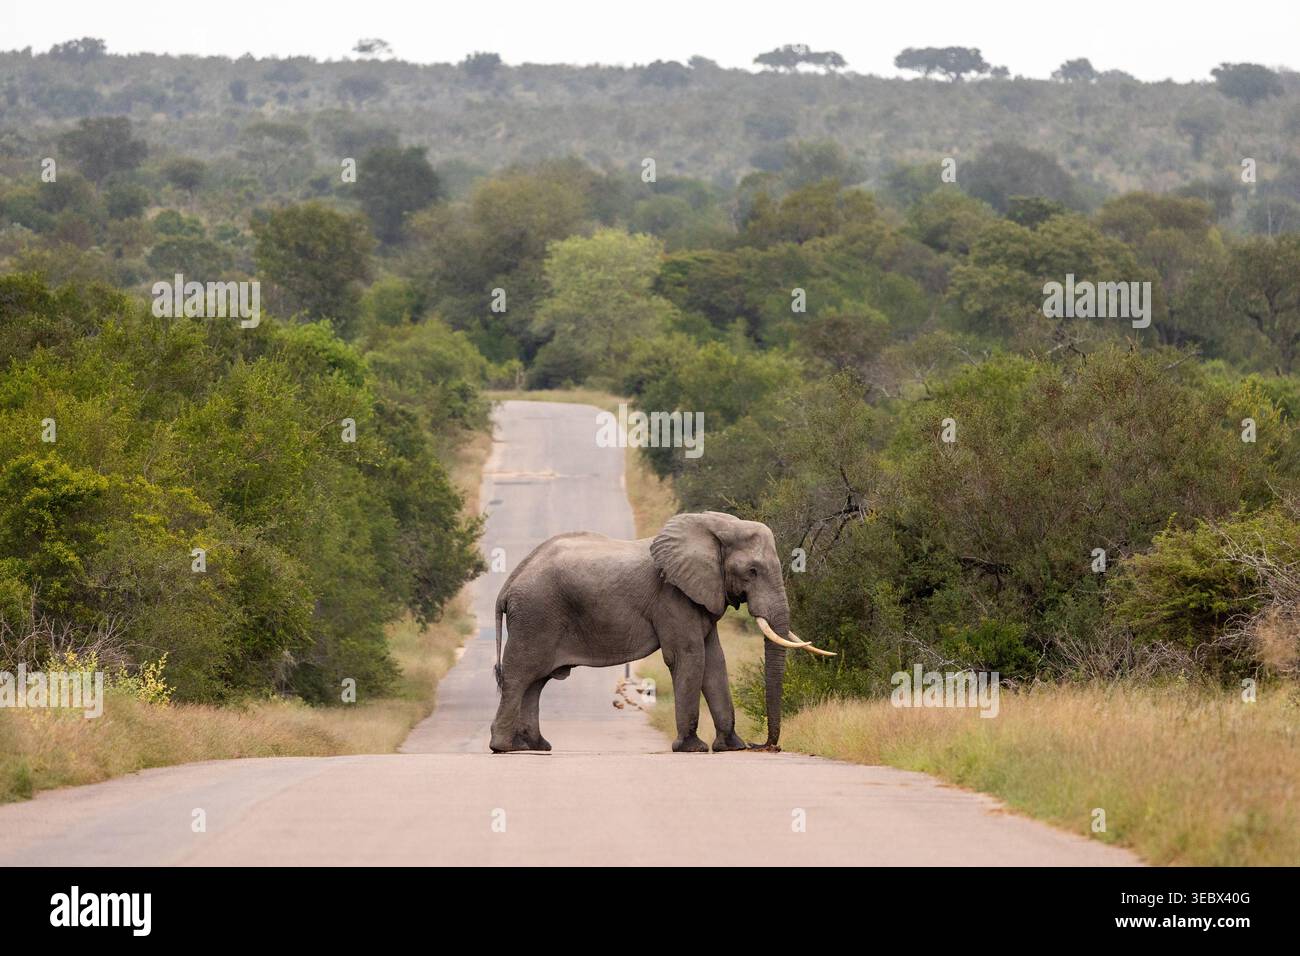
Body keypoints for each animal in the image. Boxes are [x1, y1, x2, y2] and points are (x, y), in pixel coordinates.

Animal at [488, 511, 833, 754]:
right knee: (521, 675)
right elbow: (689, 656)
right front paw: (692, 748)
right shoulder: (672, 595)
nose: (765, 745)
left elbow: (715, 661)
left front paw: (731, 747)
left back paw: (535, 746)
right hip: (535, 614)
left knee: (536, 681)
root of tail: (508, 584)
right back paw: (505, 748)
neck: (715, 527)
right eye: (752, 571)